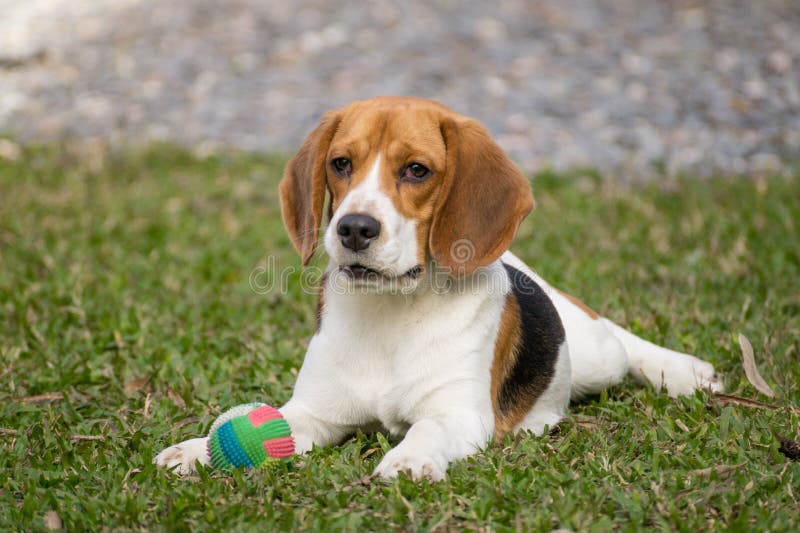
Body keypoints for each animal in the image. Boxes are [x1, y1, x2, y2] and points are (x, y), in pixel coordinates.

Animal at [155, 97, 720, 480]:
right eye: (341, 163)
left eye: (416, 170)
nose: (354, 228)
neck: (392, 315)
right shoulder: (315, 412)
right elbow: (269, 422)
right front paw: (199, 449)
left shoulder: (458, 414)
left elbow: (427, 427)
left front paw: (408, 459)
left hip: (596, 355)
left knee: (619, 341)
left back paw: (683, 371)